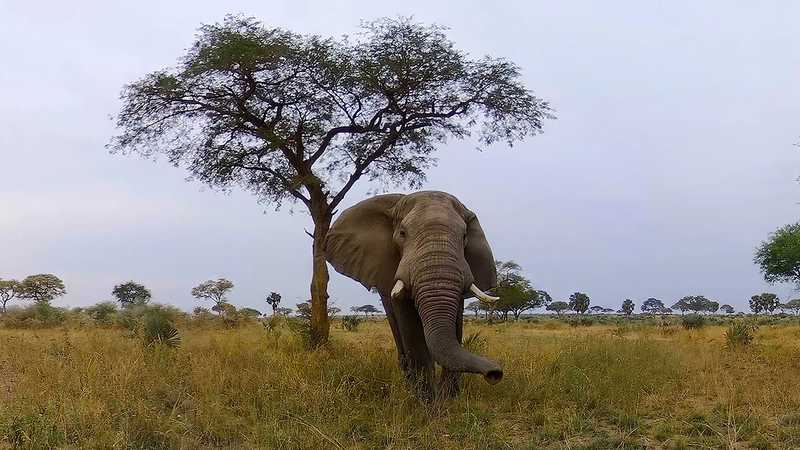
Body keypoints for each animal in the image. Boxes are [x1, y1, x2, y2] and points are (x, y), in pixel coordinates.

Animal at [325, 191, 503, 399]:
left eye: (464, 236)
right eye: (402, 234)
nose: (495, 374)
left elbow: (456, 326)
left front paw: (449, 399)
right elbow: (411, 329)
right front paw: (428, 403)